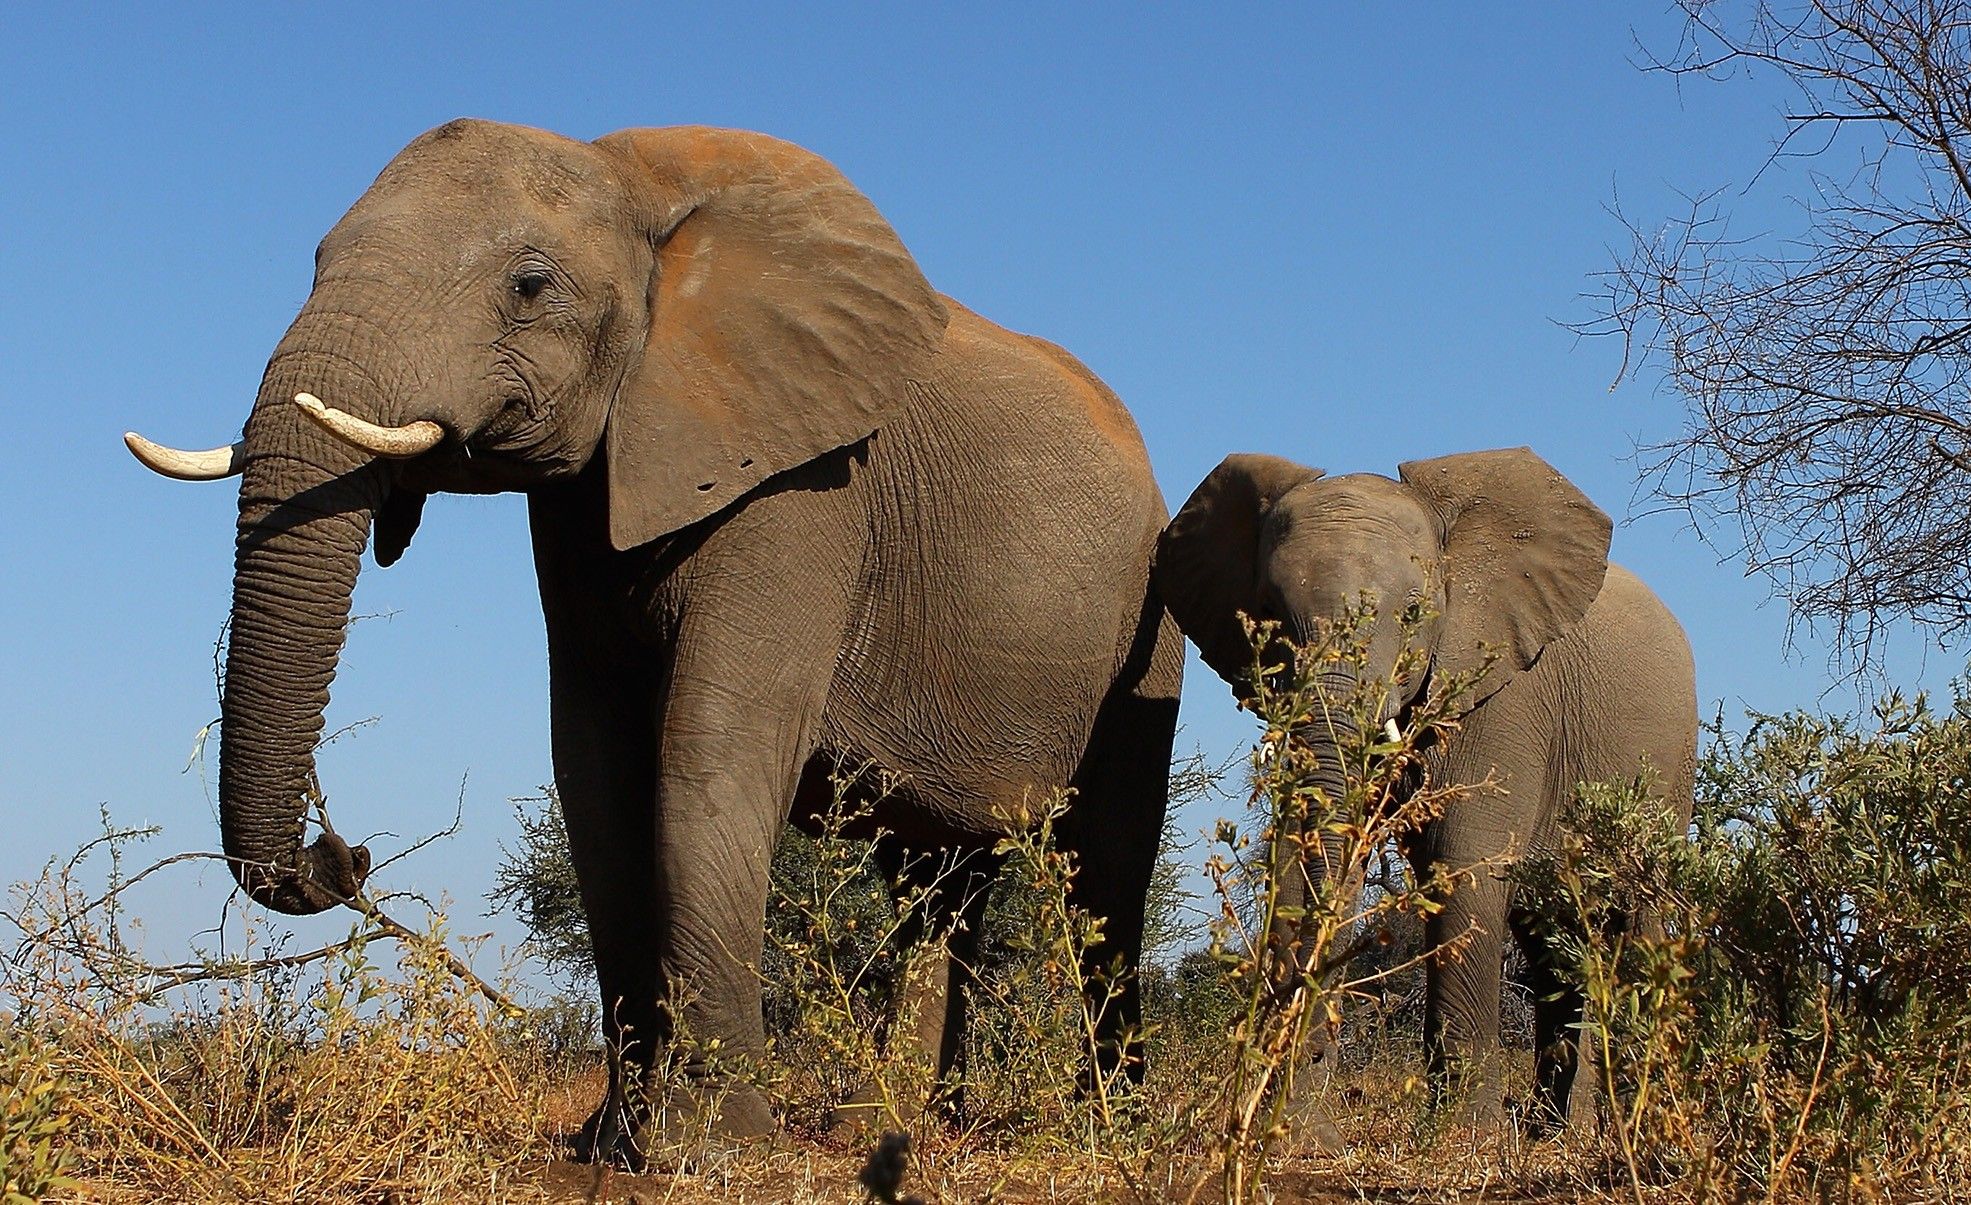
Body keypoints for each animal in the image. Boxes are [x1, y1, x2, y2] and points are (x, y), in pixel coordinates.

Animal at [127, 120, 1182, 1159]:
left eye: (530, 285)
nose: (342, 855)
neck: (632, 180)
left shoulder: (802, 484)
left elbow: (707, 751)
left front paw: (716, 1148)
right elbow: (595, 767)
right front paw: (610, 1144)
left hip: (1146, 626)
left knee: (1105, 874)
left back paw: (1106, 1134)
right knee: (936, 882)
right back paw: (890, 1132)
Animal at [1151, 445, 1695, 1128]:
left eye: (1415, 613)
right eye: (1269, 611)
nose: (1312, 1083)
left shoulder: (1503, 699)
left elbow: (1461, 867)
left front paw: (1466, 1137)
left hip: (1670, 769)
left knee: (1636, 921)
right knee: (1550, 939)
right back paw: (1551, 1131)